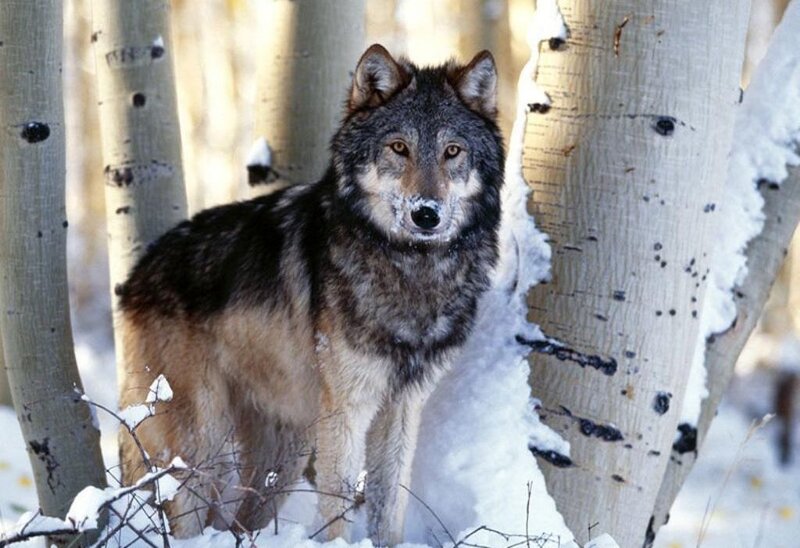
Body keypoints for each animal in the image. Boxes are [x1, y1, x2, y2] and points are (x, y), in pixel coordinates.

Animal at [118, 44, 504, 545]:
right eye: (399, 147)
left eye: (452, 151)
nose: (426, 214)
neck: (412, 269)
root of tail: (135, 276)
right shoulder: (347, 409)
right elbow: (337, 507)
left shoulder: (402, 409)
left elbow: (389, 507)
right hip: (204, 444)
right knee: (186, 515)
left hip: (284, 452)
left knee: (238, 522)